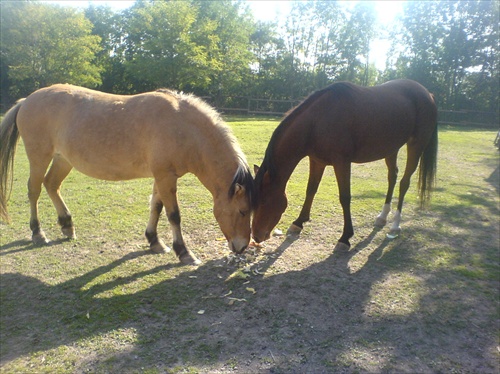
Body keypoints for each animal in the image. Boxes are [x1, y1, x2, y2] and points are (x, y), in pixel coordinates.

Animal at [0, 84, 254, 266]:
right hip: (39, 157)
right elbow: (173, 215)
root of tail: (26, 101)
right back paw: (38, 233)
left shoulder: (161, 176)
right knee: (34, 190)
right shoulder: (165, 176)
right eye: (242, 211)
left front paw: (154, 241)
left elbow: (156, 207)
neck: (182, 125)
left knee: (51, 185)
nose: (242, 247)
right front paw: (184, 253)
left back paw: (67, 225)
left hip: (63, 160)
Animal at [254, 79, 438, 250]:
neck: (318, 120)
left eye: (264, 201)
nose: (256, 237)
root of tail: (428, 94)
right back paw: (382, 217)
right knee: (392, 177)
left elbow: (345, 197)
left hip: (416, 145)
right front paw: (299, 222)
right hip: (391, 149)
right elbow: (311, 190)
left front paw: (345, 237)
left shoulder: (342, 162)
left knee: (404, 183)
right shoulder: (317, 161)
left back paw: (394, 225)